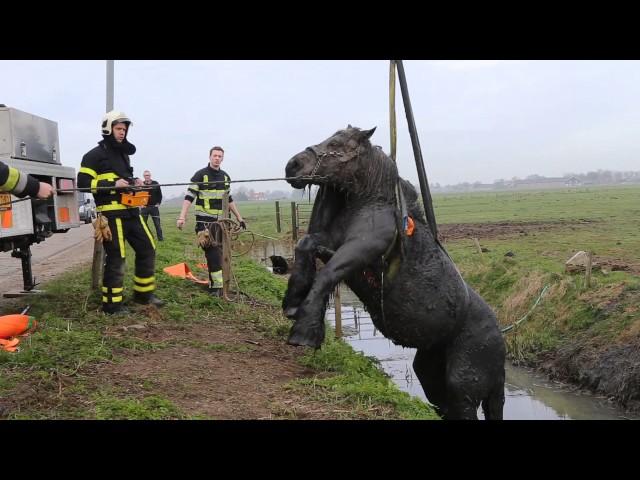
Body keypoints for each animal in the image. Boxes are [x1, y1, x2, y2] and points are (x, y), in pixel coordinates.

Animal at [282, 125, 508, 418]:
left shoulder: (359, 252)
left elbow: (327, 274)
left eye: (336, 144)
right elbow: (305, 245)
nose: (292, 166)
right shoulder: (330, 244)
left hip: (464, 384)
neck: (371, 204)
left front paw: (304, 332)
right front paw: (292, 304)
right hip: (430, 370)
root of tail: (501, 342)